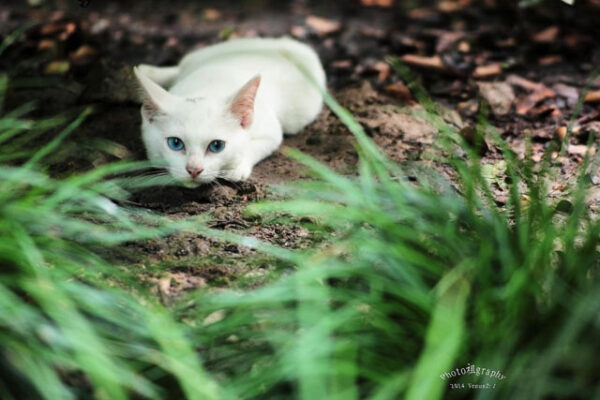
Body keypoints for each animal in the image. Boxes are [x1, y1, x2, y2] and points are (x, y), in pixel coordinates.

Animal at [134, 37, 326, 184]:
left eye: (216, 146)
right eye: (175, 143)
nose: (194, 170)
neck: (205, 90)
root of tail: (284, 44)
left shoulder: (270, 131)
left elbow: (255, 145)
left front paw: (236, 168)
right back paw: (148, 71)